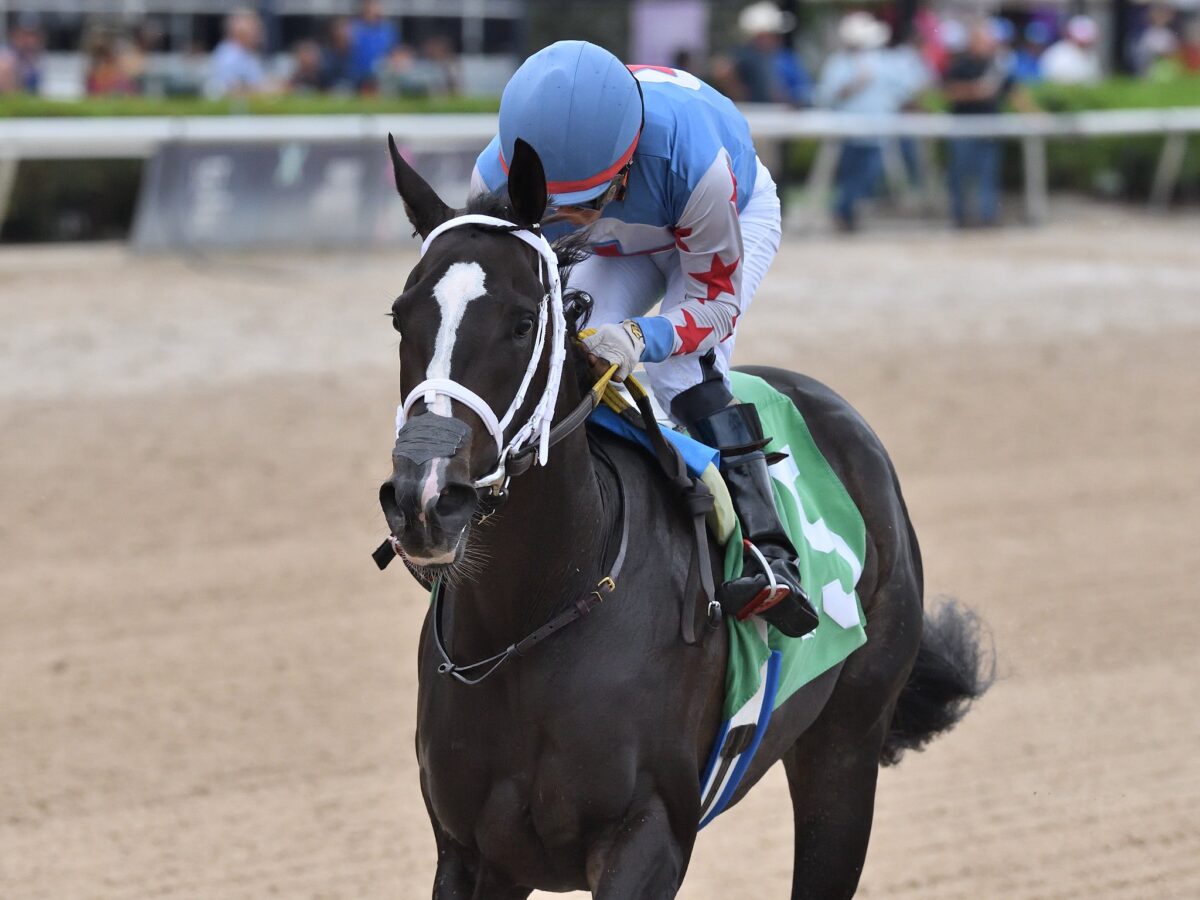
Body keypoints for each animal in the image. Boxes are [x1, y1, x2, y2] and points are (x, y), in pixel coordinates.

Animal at [379, 135, 988, 900]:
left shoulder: (650, 836)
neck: (530, 621)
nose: (425, 499)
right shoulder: (471, 852)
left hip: (846, 748)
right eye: (401, 317)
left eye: (522, 323)